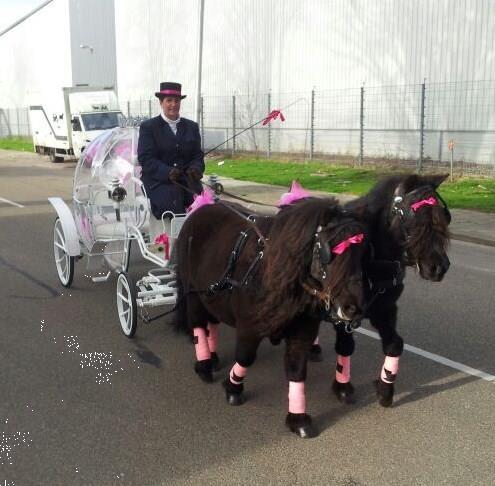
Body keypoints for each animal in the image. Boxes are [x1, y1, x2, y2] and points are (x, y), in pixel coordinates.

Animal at [177, 196, 368, 436]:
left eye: (362, 252)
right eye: (330, 252)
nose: (354, 308)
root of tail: (200, 210)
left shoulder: (301, 333)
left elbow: (297, 369)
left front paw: (298, 419)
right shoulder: (249, 327)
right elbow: (245, 357)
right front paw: (233, 387)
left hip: (211, 297)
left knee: (211, 323)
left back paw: (212, 356)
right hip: (193, 293)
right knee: (199, 325)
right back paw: (204, 365)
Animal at [326, 174, 454, 406]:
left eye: (444, 217)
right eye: (414, 220)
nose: (440, 267)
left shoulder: (385, 309)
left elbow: (394, 344)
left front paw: (385, 388)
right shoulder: (341, 313)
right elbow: (345, 345)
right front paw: (342, 387)